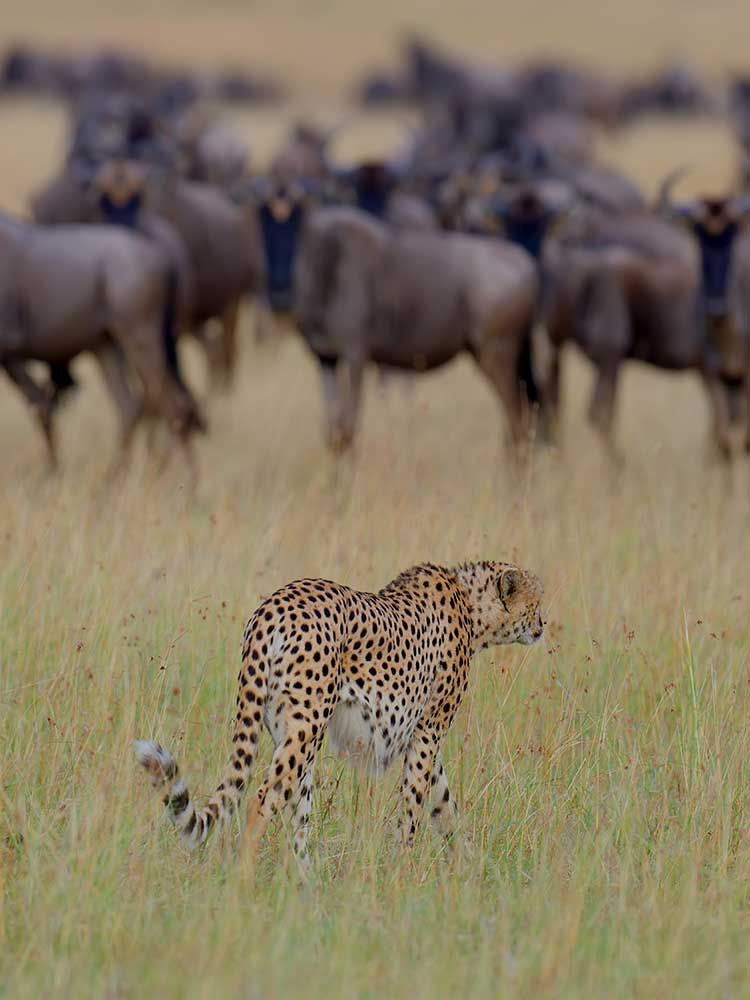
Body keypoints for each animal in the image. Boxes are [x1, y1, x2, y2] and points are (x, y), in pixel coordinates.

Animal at [134, 560, 544, 873]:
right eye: (537, 602)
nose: (542, 627)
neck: (471, 606)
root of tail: (272, 606)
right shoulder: (428, 732)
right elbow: (414, 807)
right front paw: (404, 873)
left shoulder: (421, 737)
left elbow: (444, 805)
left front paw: (469, 865)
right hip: (306, 728)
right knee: (260, 802)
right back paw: (246, 880)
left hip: (293, 732)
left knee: (297, 818)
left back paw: (306, 888)